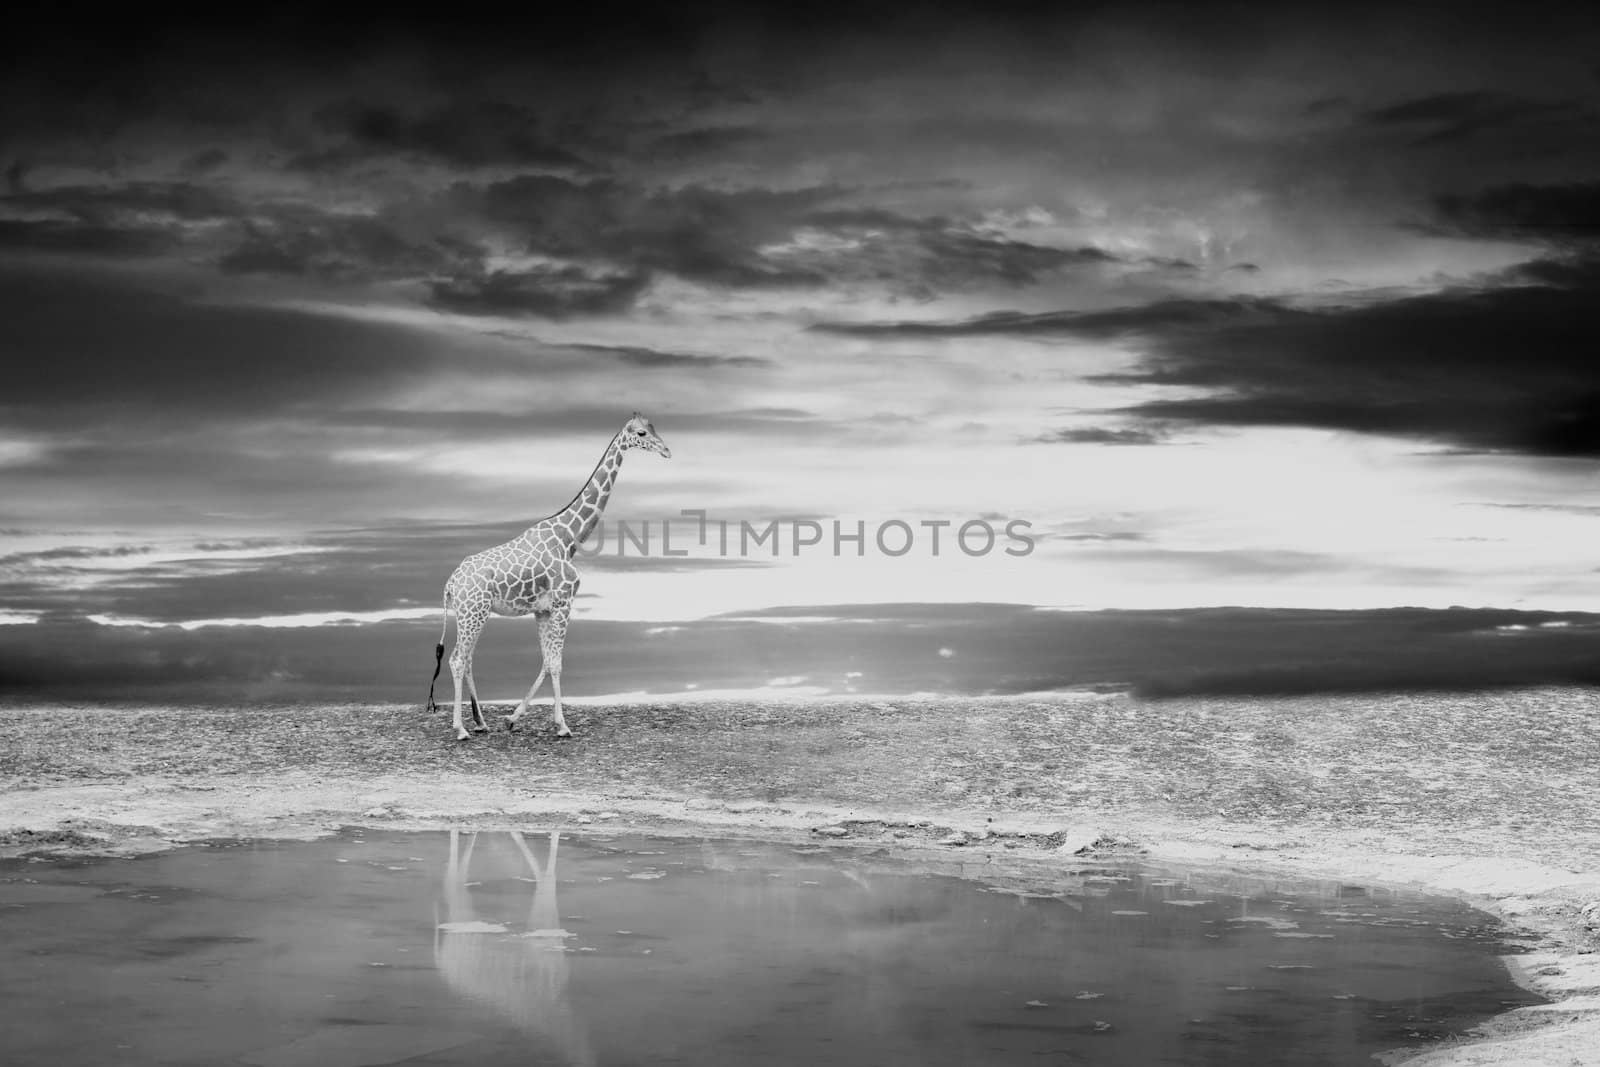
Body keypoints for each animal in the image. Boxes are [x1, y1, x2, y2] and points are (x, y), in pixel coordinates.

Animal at [425, 412, 668, 739]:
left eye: (654, 427)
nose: (666, 450)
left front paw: (513, 718)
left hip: (473, 613)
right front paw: (562, 725)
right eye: (642, 433)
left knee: (468, 659)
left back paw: (480, 721)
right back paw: (461, 728)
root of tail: (449, 584)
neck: (569, 538)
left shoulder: (542, 609)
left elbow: (546, 660)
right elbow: (556, 662)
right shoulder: (565, 601)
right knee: (456, 660)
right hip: (473, 612)